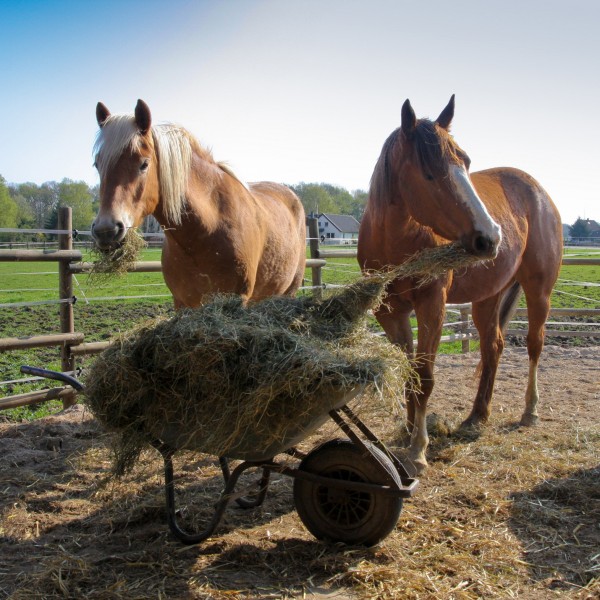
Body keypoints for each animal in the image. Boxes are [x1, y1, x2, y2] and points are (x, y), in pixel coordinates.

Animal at [358, 96, 564, 476]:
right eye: (428, 172)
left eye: (465, 162)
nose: (490, 236)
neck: (395, 240)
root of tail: (539, 192)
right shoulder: (390, 313)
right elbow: (410, 372)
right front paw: (407, 430)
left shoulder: (432, 306)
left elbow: (425, 375)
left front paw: (418, 449)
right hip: (488, 298)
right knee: (492, 347)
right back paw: (476, 416)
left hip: (538, 291)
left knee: (534, 344)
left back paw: (530, 410)